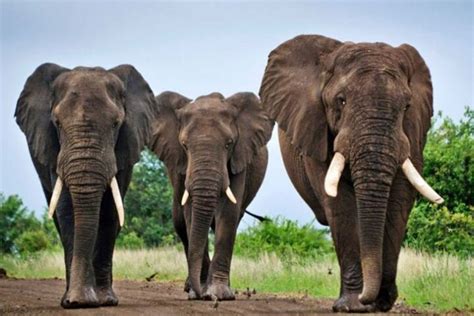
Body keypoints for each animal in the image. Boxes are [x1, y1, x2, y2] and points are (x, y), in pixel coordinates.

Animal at [14, 63, 155, 308]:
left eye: (116, 124)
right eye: (57, 123)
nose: (78, 300)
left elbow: (109, 212)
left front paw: (104, 300)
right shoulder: (54, 149)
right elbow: (67, 210)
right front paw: (77, 301)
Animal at [148, 90, 274, 298]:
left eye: (229, 144)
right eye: (184, 145)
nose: (203, 294)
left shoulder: (239, 158)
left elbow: (229, 214)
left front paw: (219, 294)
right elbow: (190, 214)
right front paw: (197, 292)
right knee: (180, 223)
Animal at [260, 35, 440, 314]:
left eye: (406, 106)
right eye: (341, 101)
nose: (371, 298)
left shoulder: (413, 135)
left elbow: (399, 199)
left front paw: (382, 302)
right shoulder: (316, 131)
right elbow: (340, 204)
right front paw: (353, 305)